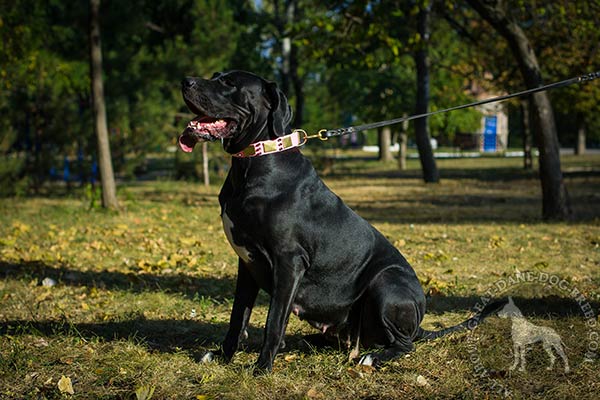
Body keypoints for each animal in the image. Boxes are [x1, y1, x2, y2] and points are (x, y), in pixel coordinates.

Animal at [178, 71, 502, 372]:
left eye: (230, 83)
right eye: (216, 76)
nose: (186, 81)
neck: (253, 162)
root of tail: (420, 322)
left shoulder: (288, 261)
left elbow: (274, 321)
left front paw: (262, 368)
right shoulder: (247, 263)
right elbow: (238, 317)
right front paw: (222, 356)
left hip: (386, 283)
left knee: (404, 344)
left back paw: (374, 357)